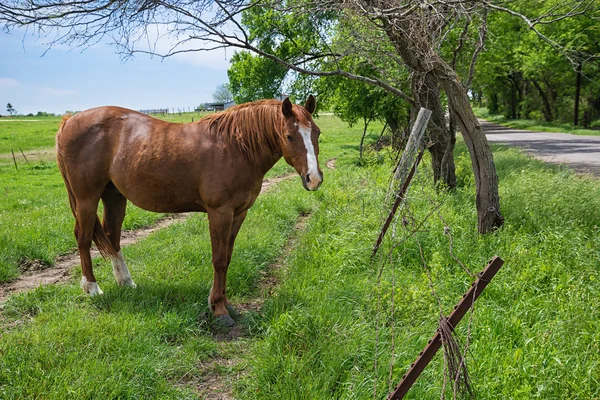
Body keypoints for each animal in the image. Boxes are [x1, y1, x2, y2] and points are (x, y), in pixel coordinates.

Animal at [55, 96, 324, 324]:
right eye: (289, 136)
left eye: (317, 133)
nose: (314, 178)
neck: (235, 147)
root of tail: (69, 121)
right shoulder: (220, 213)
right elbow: (219, 260)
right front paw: (219, 309)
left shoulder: (239, 213)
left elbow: (228, 256)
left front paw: (224, 301)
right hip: (86, 198)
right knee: (83, 237)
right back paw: (92, 288)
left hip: (114, 196)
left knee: (112, 237)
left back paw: (126, 282)